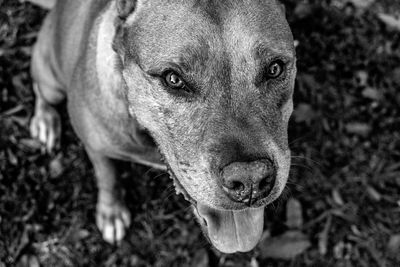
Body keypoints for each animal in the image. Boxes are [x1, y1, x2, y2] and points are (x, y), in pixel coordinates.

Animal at [29, 0, 296, 255]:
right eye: (173, 79)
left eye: (275, 68)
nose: (251, 180)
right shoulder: (95, 147)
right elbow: (107, 177)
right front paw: (111, 212)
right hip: (50, 81)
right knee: (40, 89)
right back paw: (45, 121)